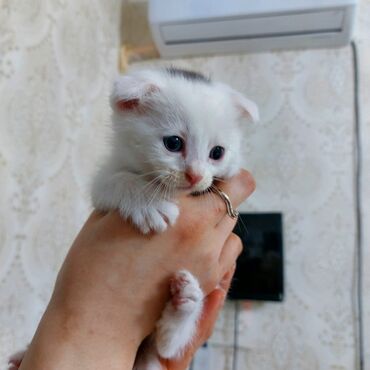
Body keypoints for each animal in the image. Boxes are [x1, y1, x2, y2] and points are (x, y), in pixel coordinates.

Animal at [8, 68, 258, 368]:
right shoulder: (103, 181)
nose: (196, 176)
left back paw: (185, 302)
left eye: (217, 153)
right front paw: (146, 202)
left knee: (167, 346)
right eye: (173, 143)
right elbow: (117, 180)